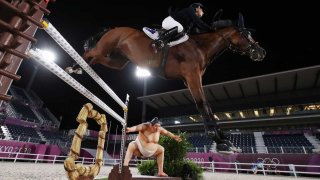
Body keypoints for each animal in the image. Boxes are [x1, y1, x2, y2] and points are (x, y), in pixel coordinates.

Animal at [82, 13, 264, 153]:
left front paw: (225, 141)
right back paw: (77, 66)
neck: (201, 47)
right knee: (91, 52)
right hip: (105, 48)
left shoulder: (191, 79)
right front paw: (220, 142)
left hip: (118, 61)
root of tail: (114, 29)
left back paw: (80, 67)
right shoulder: (192, 76)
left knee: (96, 58)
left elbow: (207, 105)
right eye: (246, 34)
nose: (262, 52)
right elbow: (202, 104)